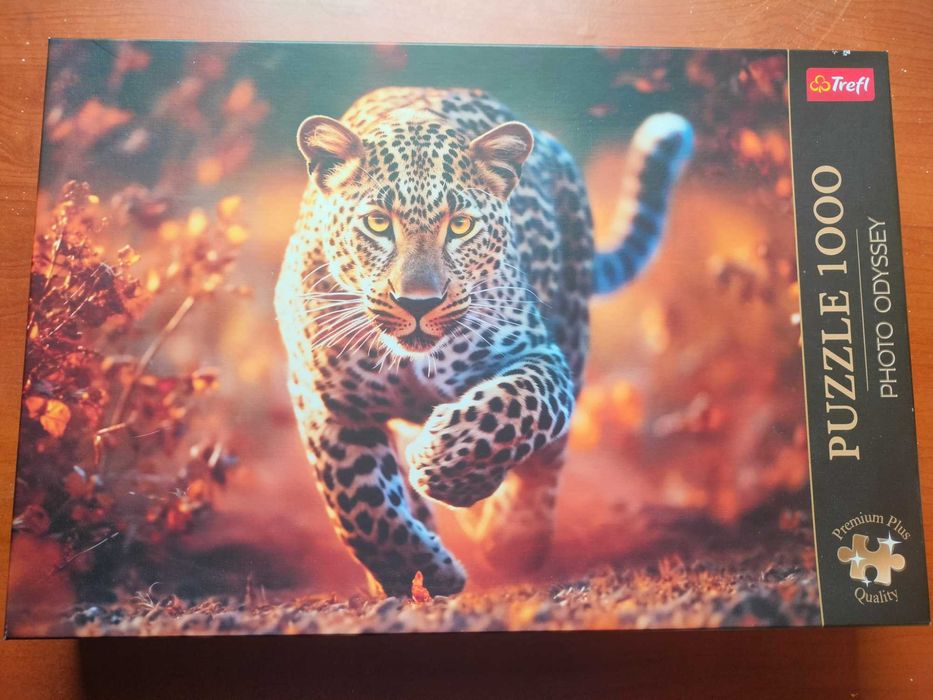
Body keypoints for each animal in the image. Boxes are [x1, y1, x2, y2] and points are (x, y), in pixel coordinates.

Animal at [274, 87, 692, 597]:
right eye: (376, 224)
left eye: (460, 226)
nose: (418, 303)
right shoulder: (327, 401)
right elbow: (360, 505)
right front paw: (421, 572)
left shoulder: (542, 356)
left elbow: (514, 408)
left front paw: (445, 464)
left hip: (573, 329)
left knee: (547, 459)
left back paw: (514, 536)